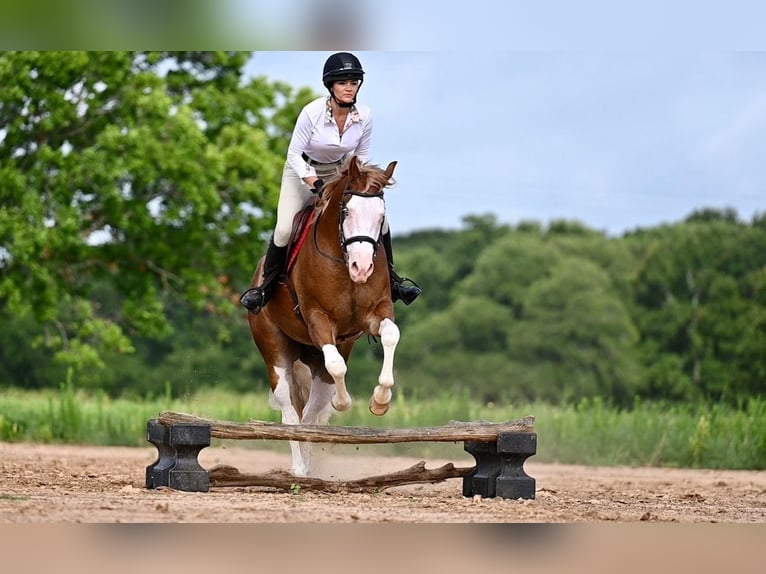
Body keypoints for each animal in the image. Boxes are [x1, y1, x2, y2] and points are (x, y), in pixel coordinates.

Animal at [248, 156, 404, 476]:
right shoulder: (317, 318)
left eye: (381, 216)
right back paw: (299, 469)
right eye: (347, 210)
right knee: (291, 414)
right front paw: (343, 404)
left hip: (315, 359)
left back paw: (310, 467)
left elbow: (390, 335)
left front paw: (380, 401)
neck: (343, 261)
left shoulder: (377, 312)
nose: (362, 268)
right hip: (276, 355)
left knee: (310, 414)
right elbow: (336, 366)